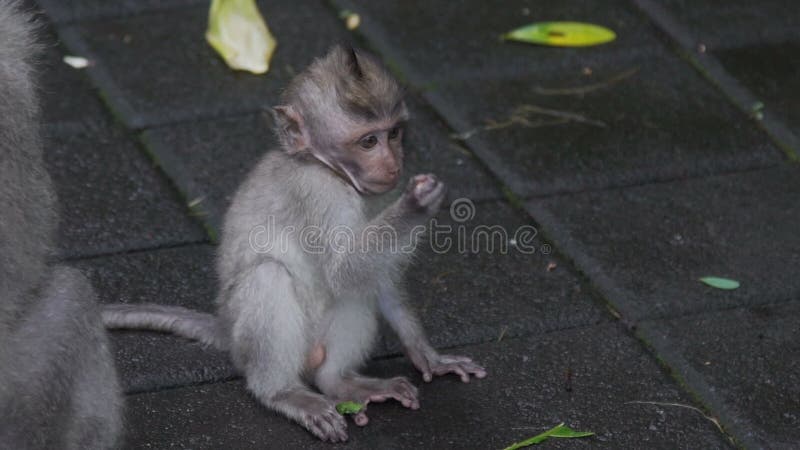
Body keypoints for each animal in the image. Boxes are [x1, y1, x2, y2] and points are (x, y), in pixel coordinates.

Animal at [103, 44, 484, 440]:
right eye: (368, 141)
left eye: (393, 133)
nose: (394, 163)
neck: (327, 168)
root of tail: (224, 326)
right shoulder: (317, 191)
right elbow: (342, 269)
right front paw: (415, 207)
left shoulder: (382, 193)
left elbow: (374, 278)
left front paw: (427, 355)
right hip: (246, 337)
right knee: (269, 276)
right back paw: (282, 392)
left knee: (351, 298)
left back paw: (340, 382)